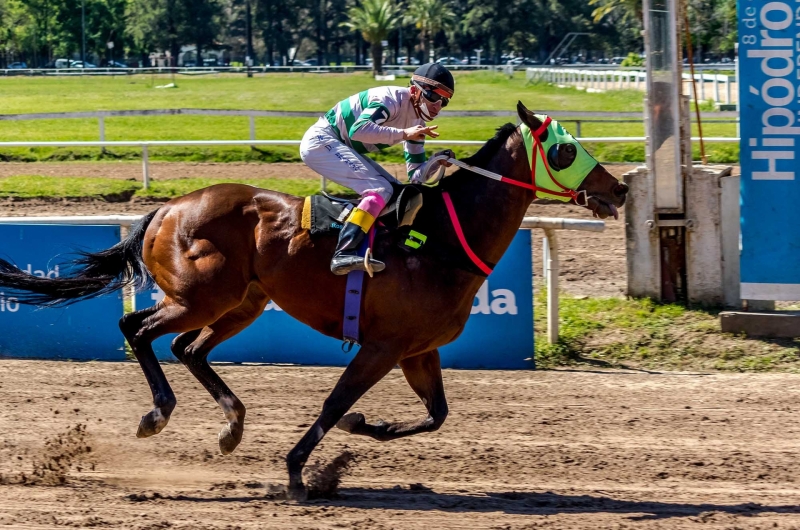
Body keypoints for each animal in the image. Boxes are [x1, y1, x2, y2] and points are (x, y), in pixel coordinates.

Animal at [0, 101, 628, 498]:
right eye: (566, 148)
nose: (619, 188)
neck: (443, 239)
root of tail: (167, 208)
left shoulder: (417, 350)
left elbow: (435, 416)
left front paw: (362, 431)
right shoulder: (382, 346)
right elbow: (332, 403)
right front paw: (302, 472)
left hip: (243, 303)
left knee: (187, 348)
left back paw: (231, 426)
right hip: (201, 296)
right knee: (138, 328)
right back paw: (158, 413)